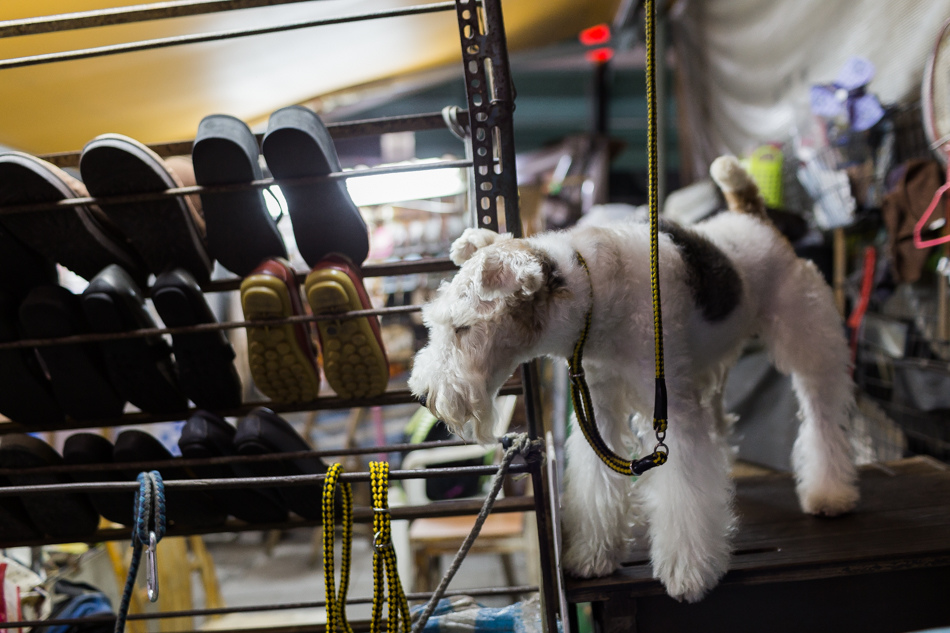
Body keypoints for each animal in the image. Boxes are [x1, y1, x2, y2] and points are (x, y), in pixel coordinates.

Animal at [410, 156, 864, 600]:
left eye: (463, 328)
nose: (423, 397)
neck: (594, 294)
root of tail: (753, 216)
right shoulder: (600, 407)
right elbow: (596, 486)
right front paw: (592, 556)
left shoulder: (668, 408)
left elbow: (684, 489)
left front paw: (688, 572)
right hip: (709, 366)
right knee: (721, 420)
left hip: (808, 341)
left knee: (823, 417)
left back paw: (829, 493)